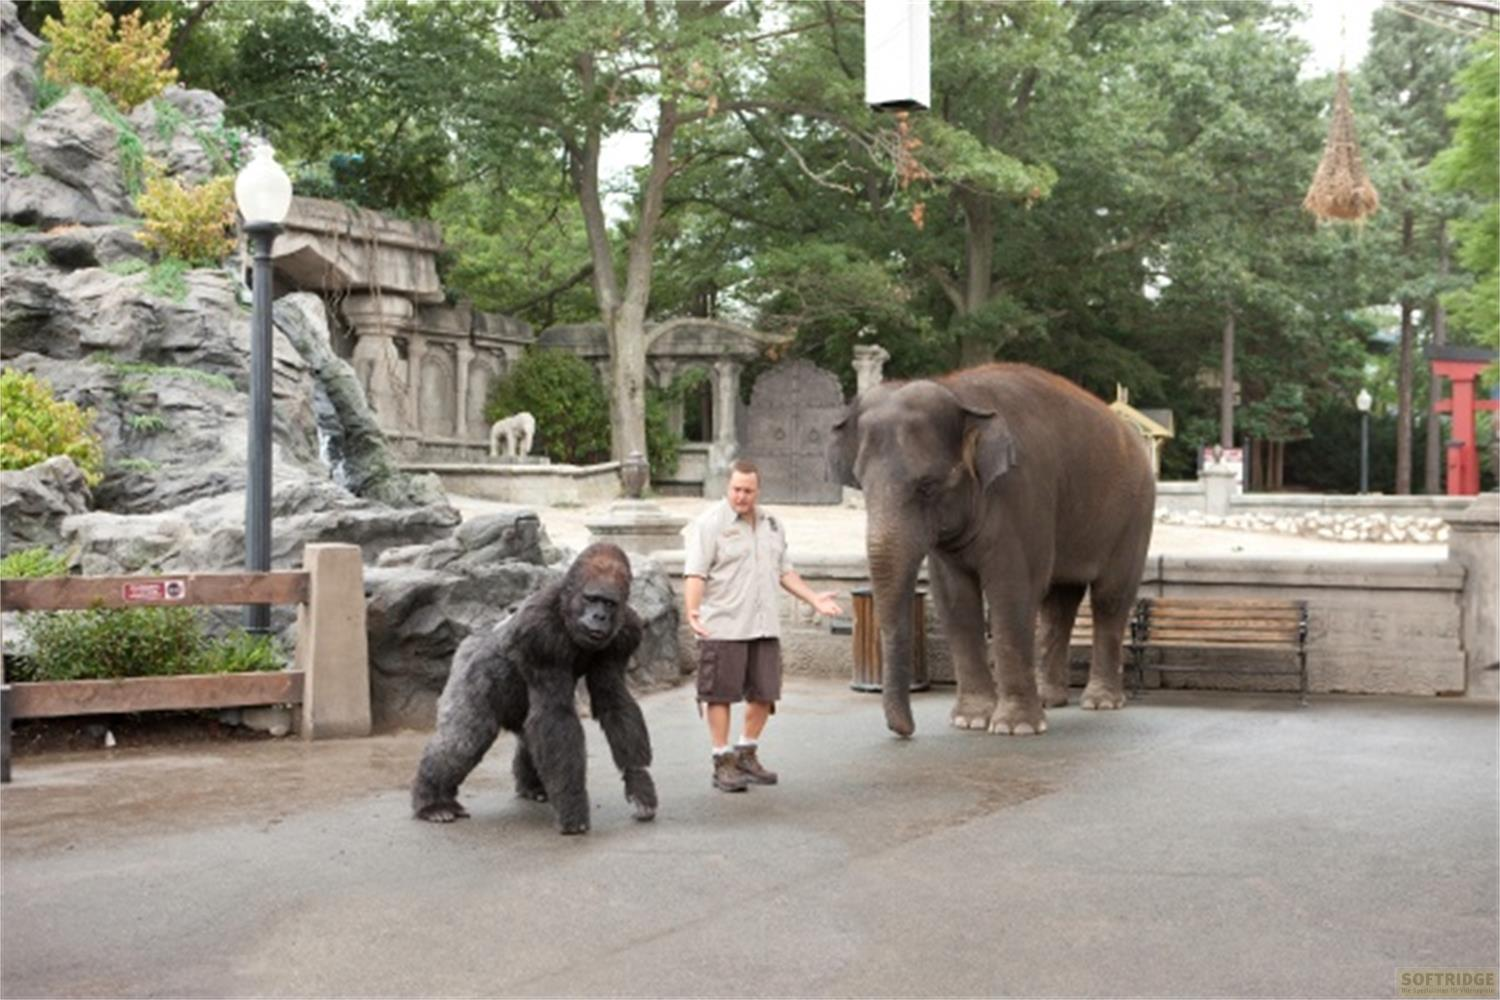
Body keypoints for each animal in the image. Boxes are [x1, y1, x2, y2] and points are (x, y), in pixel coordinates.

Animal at [828, 363, 1156, 738]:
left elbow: (1012, 591)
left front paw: (1015, 728)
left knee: (1110, 598)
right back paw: (1050, 699)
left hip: (1135, 516)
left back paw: (1100, 702)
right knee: (1059, 603)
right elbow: (954, 599)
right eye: (861, 485)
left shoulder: (1022, 493)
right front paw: (969, 721)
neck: (958, 393)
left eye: (928, 486)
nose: (905, 730)